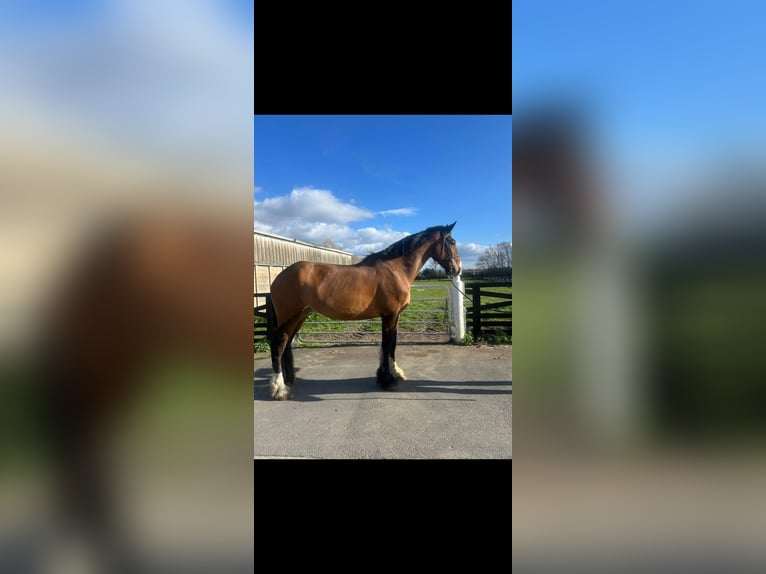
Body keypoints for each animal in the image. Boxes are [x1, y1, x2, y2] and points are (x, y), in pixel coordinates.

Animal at [267, 222, 462, 400]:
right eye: (452, 241)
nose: (457, 269)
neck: (395, 269)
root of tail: (279, 277)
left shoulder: (395, 316)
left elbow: (392, 344)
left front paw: (394, 373)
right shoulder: (390, 315)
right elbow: (387, 344)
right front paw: (388, 381)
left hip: (300, 316)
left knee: (286, 344)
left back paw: (289, 381)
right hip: (289, 316)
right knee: (278, 345)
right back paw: (280, 389)